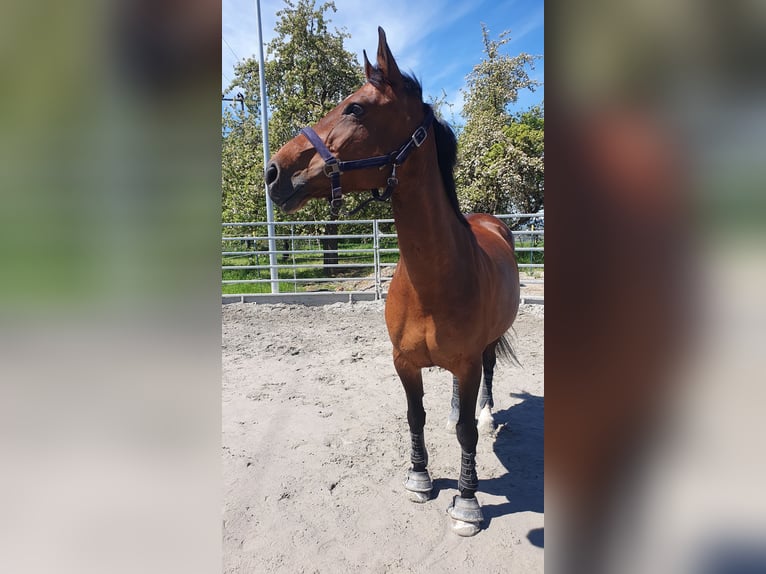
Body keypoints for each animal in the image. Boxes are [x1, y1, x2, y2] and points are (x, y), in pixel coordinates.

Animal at [266, 28, 520, 540]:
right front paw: (419, 478)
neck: (432, 284)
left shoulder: (465, 363)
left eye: (355, 109)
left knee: (486, 379)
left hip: (485, 348)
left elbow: (467, 433)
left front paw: (467, 502)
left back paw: (485, 413)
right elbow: (415, 415)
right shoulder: (403, 362)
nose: (273, 171)